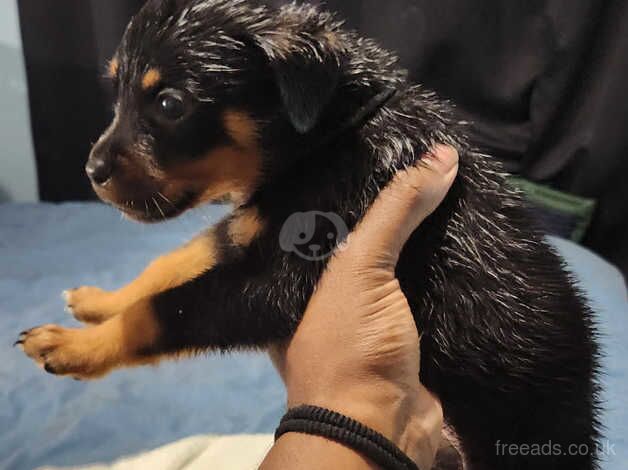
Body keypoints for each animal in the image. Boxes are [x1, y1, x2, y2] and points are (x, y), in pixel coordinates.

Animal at [17, 1, 600, 468]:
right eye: (115, 90)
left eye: (170, 104)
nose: (90, 171)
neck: (331, 137)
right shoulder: (250, 227)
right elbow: (170, 265)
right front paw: (97, 301)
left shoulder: (282, 279)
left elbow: (167, 309)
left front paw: (73, 346)